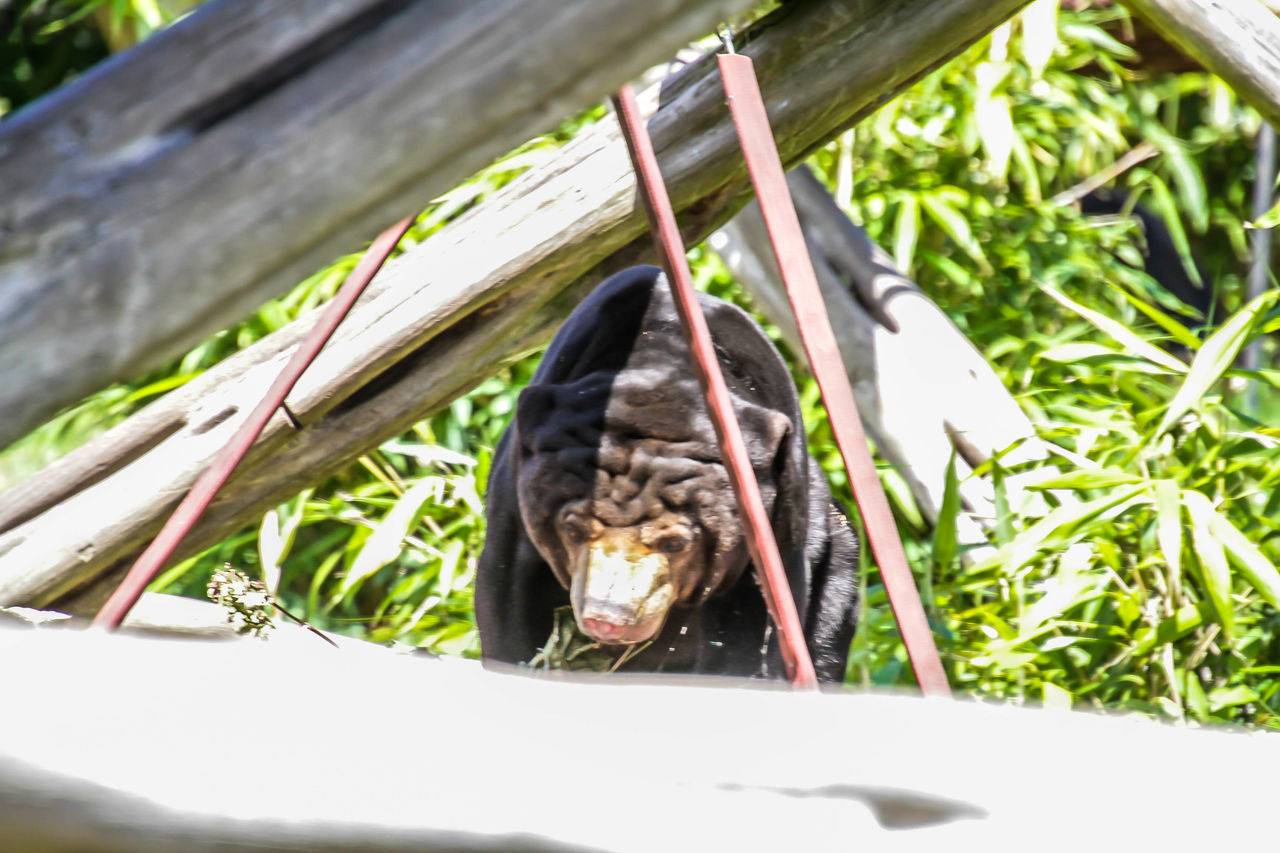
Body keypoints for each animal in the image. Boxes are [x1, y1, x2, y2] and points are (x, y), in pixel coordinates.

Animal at [478, 263, 860, 676]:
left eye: (675, 543)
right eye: (573, 530)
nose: (608, 620)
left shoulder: (773, 529)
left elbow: (753, 631)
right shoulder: (514, 505)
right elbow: (507, 598)